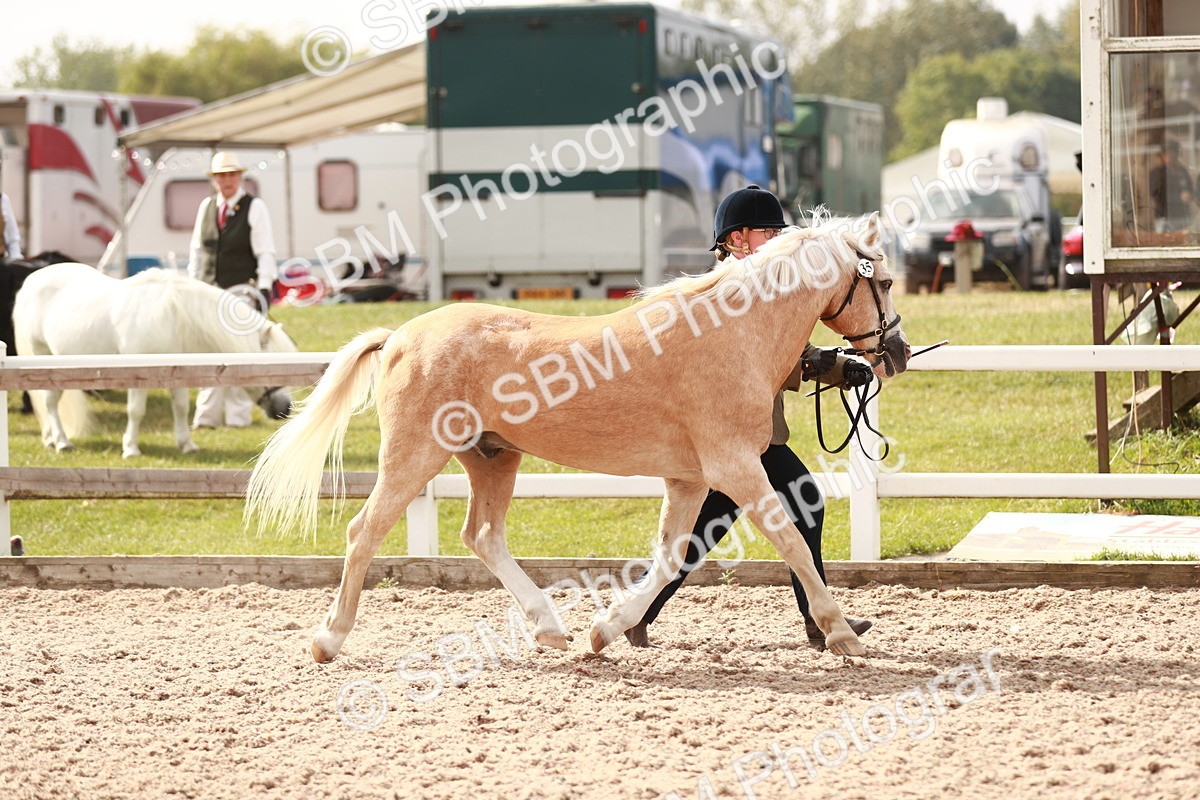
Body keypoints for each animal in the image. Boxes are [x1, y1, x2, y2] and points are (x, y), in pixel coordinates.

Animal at [14, 264, 297, 458]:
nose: (285, 409)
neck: (174, 316)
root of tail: (31, 281)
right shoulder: (138, 374)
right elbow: (136, 411)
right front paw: (130, 448)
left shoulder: (180, 373)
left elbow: (181, 408)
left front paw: (187, 444)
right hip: (44, 358)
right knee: (50, 402)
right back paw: (62, 442)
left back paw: (50, 438)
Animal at [246, 212, 910, 662]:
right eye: (886, 282)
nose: (897, 353)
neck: (731, 333)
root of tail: (401, 336)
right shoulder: (736, 467)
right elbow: (792, 542)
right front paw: (843, 633)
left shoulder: (691, 478)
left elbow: (671, 557)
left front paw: (605, 630)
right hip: (415, 455)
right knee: (364, 532)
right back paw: (328, 640)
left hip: (492, 456)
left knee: (482, 535)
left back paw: (550, 627)